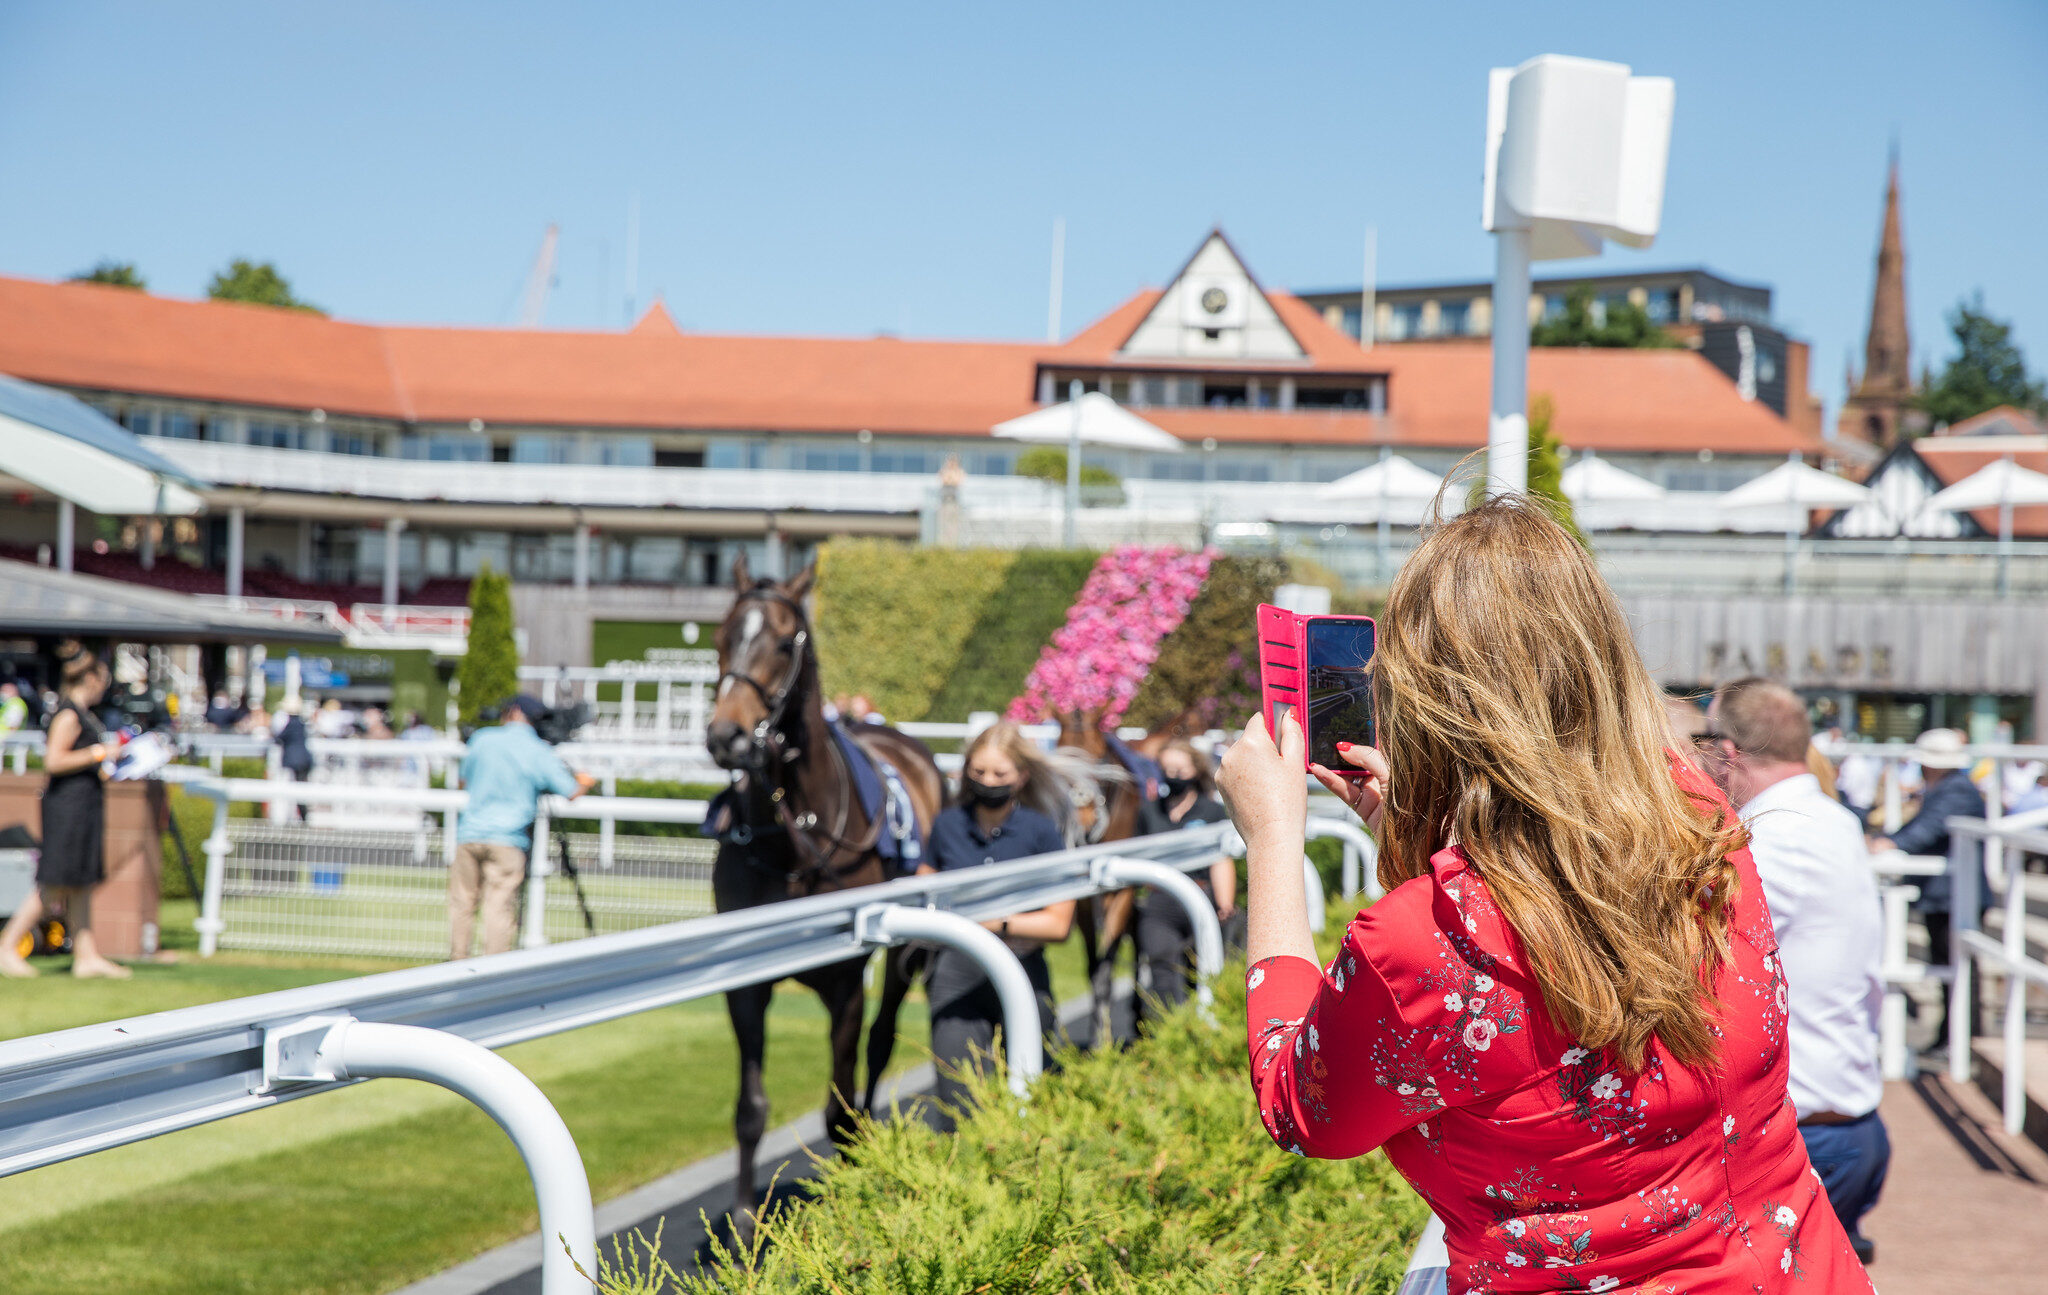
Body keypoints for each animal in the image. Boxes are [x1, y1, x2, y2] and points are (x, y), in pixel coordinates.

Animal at [704, 557, 942, 1221]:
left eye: (785, 643)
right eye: (723, 636)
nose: (727, 737)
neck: (797, 832)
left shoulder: (845, 981)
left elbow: (838, 1105)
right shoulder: (746, 983)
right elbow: (750, 1108)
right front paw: (743, 1217)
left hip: (906, 954)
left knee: (880, 1044)